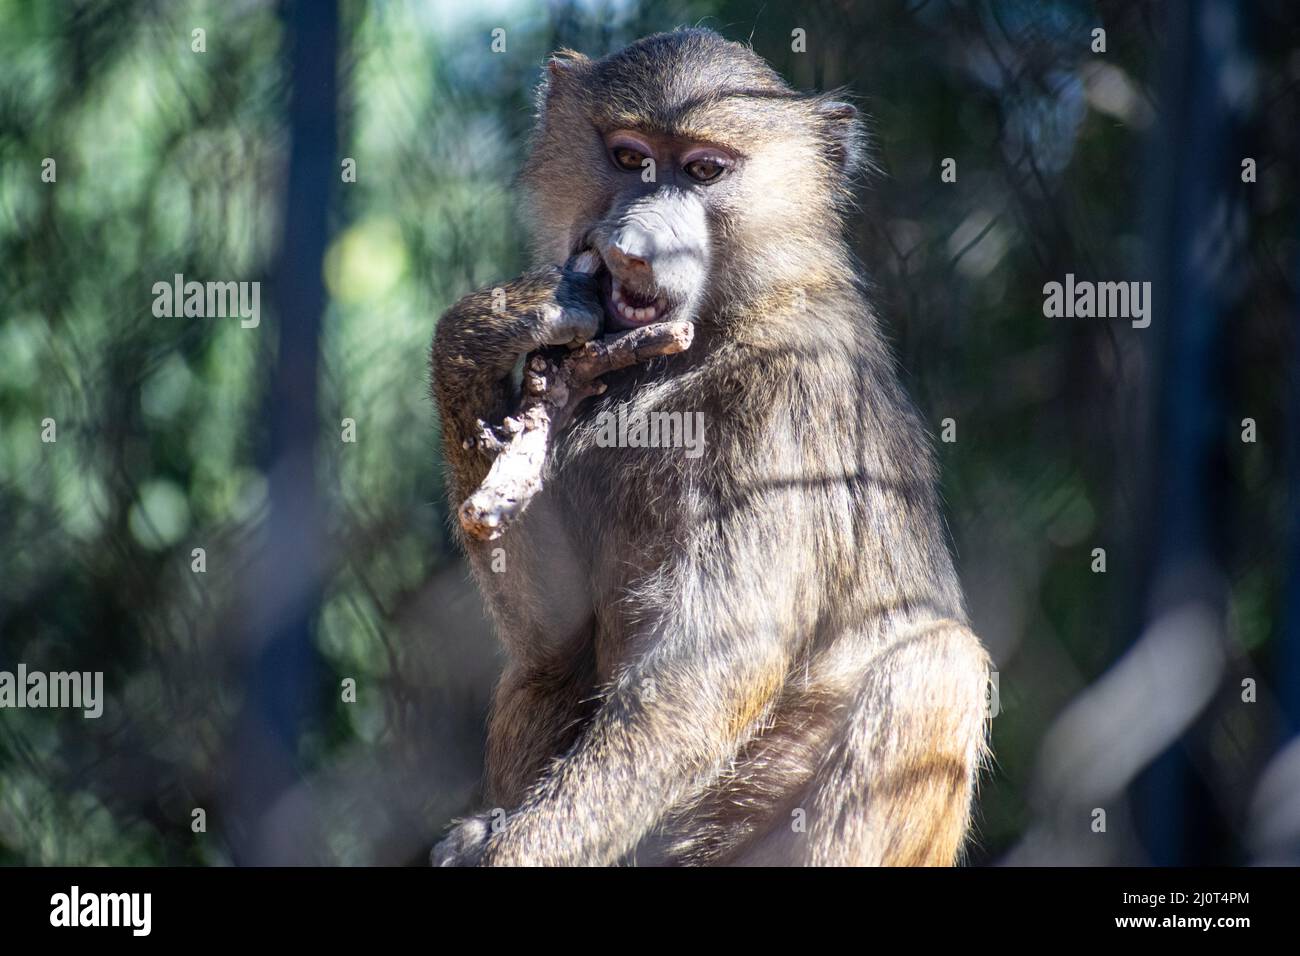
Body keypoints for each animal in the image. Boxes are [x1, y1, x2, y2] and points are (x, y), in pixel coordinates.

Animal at [429, 27, 990, 866]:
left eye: (703, 171)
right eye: (630, 157)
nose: (631, 250)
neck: (713, 332)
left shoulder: (795, 391)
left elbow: (708, 672)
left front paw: (522, 852)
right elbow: (554, 640)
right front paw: (492, 329)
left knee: (936, 666)